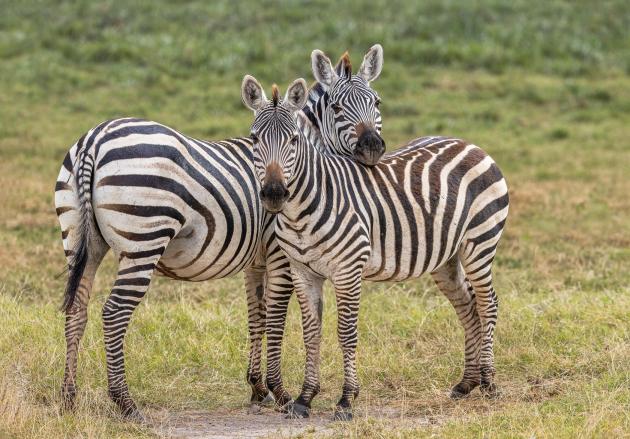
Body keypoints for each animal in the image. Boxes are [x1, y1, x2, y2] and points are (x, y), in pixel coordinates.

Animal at [55, 46, 390, 422]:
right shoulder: (280, 255)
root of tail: (95, 138)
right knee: (114, 313)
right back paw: (126, 404)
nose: (372, 148)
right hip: (143, 240)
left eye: (376, 101)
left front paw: (257, 388)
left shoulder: (256, 261)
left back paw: (68, 398)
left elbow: (256, 314)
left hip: (81, 241)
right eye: (336, 107)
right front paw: (280, 392)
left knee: (76, 310)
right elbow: (276, 317)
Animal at [244, 67, 512, 422]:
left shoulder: (348, 270)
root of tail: (470, 144)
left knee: (488, 302)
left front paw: (346, 400)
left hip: (480, 242)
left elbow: (346, 333)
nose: (274, 193)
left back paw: (489, 382)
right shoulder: (303, 272)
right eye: (255, 139)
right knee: (467, 305)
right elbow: (311, 333)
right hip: (446, 258)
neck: (303, 208)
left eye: (294, 140)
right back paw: (466, 383)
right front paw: (304, 398)